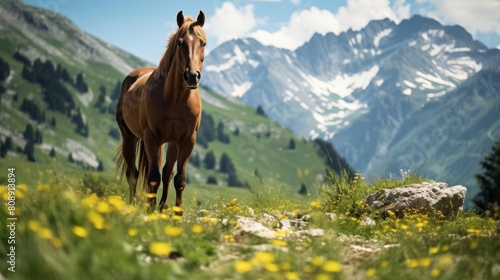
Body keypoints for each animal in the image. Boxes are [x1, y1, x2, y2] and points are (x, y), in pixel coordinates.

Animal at [115, 11, 205, 212]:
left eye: (203, 43)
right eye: (179, 42)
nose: (192, 76)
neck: (175, 99)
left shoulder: (188, 140)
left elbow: (178, 179)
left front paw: (175, 213)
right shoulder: (151, 137)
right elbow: (153, 178)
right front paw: (150, 211)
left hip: (171, 142)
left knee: (167, 173)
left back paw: (162, 206)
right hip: (129, 137)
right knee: (133, 174)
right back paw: (134, 205)